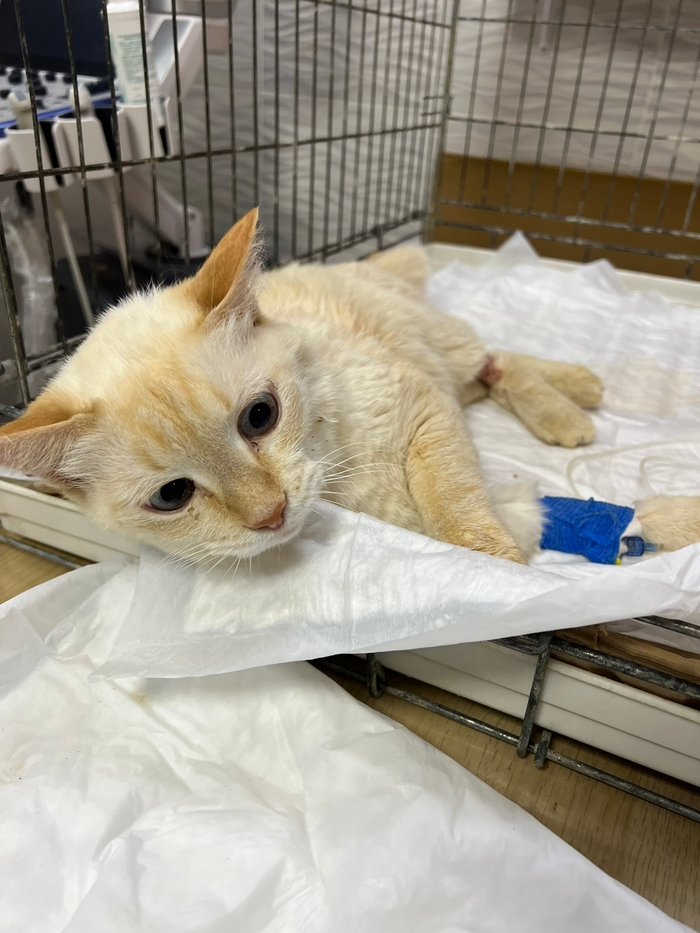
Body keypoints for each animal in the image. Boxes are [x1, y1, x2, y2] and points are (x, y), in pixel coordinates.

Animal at [0, 209, 605, 565]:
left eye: (259, 416)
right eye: (171, 496)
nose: (271, 513)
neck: (336, 477)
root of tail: (356, 264)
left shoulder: (422, 406)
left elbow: (452, 496)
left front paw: (490, 560)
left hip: (440, 346)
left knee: (496, 359)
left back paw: (576, 401)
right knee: (492, 373)